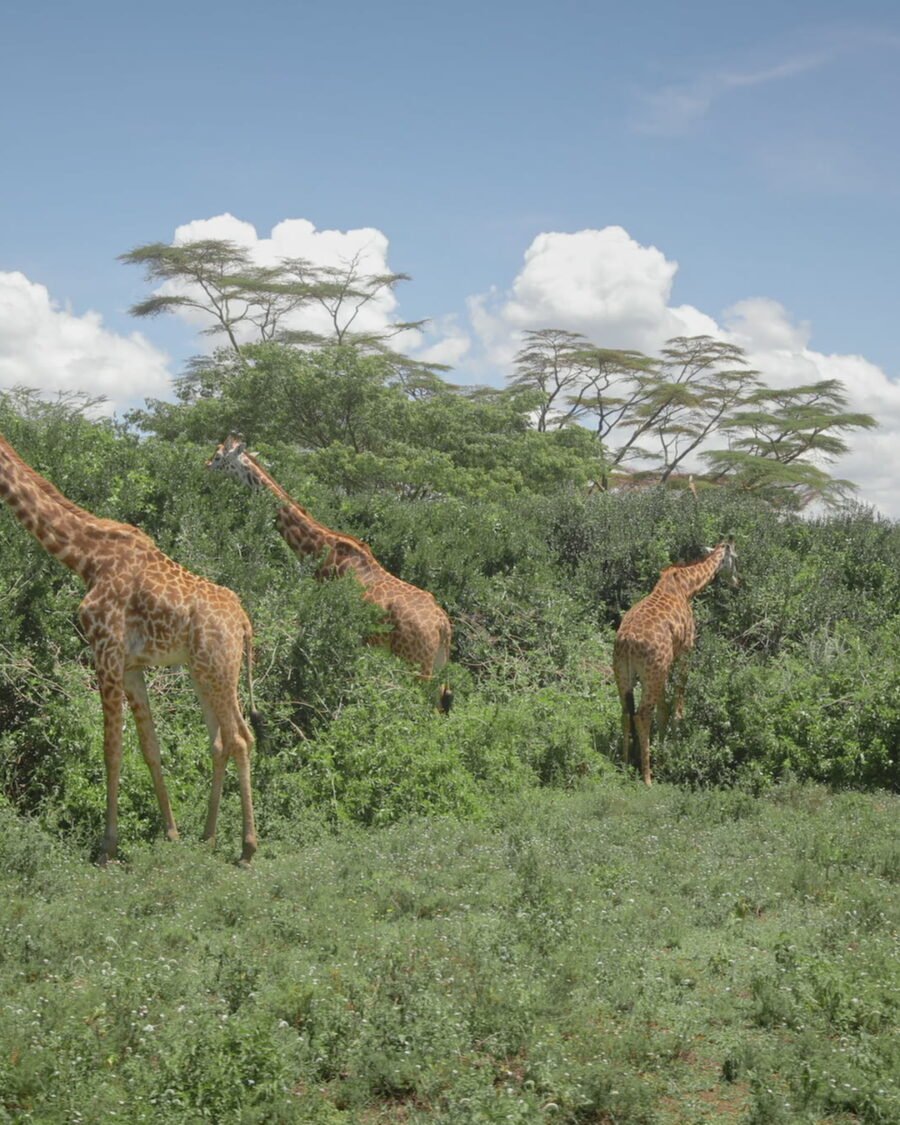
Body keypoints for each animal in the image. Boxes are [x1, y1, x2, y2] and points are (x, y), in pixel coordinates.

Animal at [0, 433, 261, 863]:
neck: (86, 557)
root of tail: (243, 623)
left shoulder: (105, 651)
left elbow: (112, 747)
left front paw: (108, 846)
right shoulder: (131, 666)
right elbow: (149, 746)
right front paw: (171, 833)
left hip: (219, 668)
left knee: (239, 738)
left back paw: (247, 847)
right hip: (204, 672)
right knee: (224, 740)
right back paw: (207, 837)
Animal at [206, 433, 453, 712]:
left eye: (218, 457)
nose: (205, 467)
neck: (321, 550)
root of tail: (442, 624)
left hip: (415, 663)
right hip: (437, 663)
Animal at [613, 539, 737, 785]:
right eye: (736, 559)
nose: (737, 582)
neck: (687, 587)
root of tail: (627, 644)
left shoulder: (666, 663)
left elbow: (664, 707)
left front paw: (663, 749)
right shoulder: (686, 649)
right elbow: (678, 702)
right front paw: (674, 744)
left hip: (623, 673)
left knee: (626, 712)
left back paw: (625, 764)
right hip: (651, 673)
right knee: (642, 714)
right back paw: (647, 777)